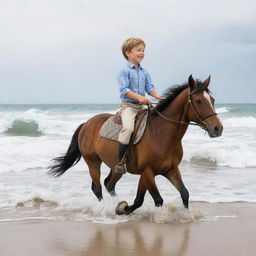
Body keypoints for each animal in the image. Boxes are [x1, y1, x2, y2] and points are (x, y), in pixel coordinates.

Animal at [47, 75, 222, 215]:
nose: (218, 128)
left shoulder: (170, 170)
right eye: (199, 101)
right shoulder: (148, 172)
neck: (162, 135)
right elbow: (156, 199)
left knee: (109, 184)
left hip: (116, 167)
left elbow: (183, 193)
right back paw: (104, 208)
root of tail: (87, 124)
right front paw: (124, 209)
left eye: (212, 100)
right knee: (97, 188)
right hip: (93, 163)